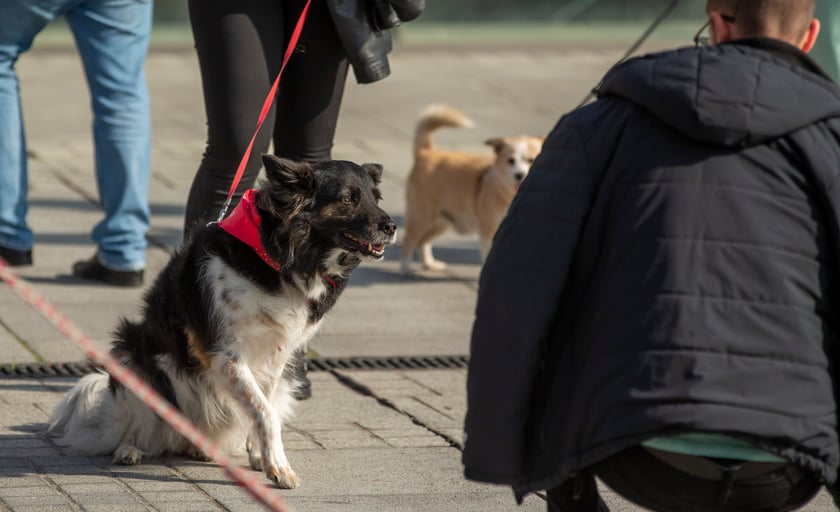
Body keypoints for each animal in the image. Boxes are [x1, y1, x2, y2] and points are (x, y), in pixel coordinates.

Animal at [48, 155, 398, 488]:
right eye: (348, 199)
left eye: (376, 197)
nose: (392, 226)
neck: (278, 256)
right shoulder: (223, 351)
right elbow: (265, 411)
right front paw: (279, 468)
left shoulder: (277, 353)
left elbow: (262, 406)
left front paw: (262, 458)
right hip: (132, 356)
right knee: (134, 425)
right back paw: (129, 449)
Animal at [400, 102, 544, 274]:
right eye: (511, 161)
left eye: (532, 160)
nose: (519, 175)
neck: (509, 197)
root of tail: (426, 153)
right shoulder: (489, 232)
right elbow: (488, 258)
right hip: (421, 216)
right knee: (408, 240)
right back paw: (405, 268)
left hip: (442, 221)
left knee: (423, 241)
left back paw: (429, 263)